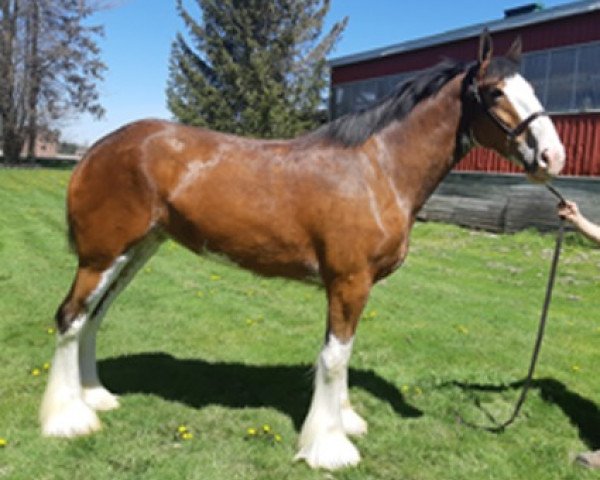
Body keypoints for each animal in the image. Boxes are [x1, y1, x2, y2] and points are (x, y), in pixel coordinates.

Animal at [41, 30, 564, 468]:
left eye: (533, 88)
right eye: (495, 92)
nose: (552, 157)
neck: (377, 170)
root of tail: (98, 148)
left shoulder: (354, 287)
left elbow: (343, 352)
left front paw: (346, 420)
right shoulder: (349, 281)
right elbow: (334, 358)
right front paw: (329, 447)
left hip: (135, 252)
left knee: (93, 317)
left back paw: (95, 396)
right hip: (102, 255)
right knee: (70, 318)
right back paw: (69, 418)